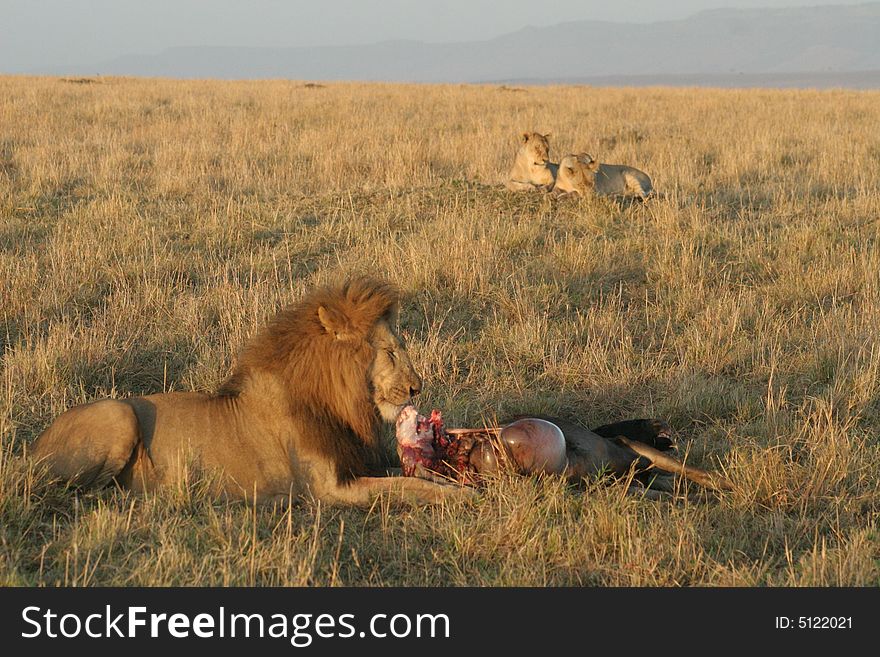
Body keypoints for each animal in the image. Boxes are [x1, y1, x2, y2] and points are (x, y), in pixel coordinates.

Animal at [30, 280, 464, 504]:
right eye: (391, 351)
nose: (417, 386)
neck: (338, 402)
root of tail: (33, 446)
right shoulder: (328, 489)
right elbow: (407, 485)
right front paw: (463, 499)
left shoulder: (355, 465)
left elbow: (413, 476)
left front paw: (460, 484)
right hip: (117, 414)